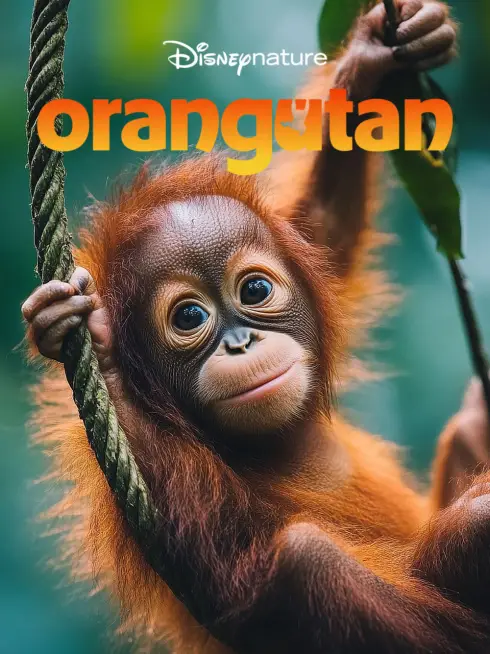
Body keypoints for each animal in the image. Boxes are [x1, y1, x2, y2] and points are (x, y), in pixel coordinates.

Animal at [22, 1, 490, 653]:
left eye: (255, 291)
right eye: (189, 317)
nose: (241, 342)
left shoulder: (307, 248)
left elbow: (320, 231)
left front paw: (371, 58)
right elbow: (222, 566)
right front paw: (101, 349)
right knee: (305, 561)